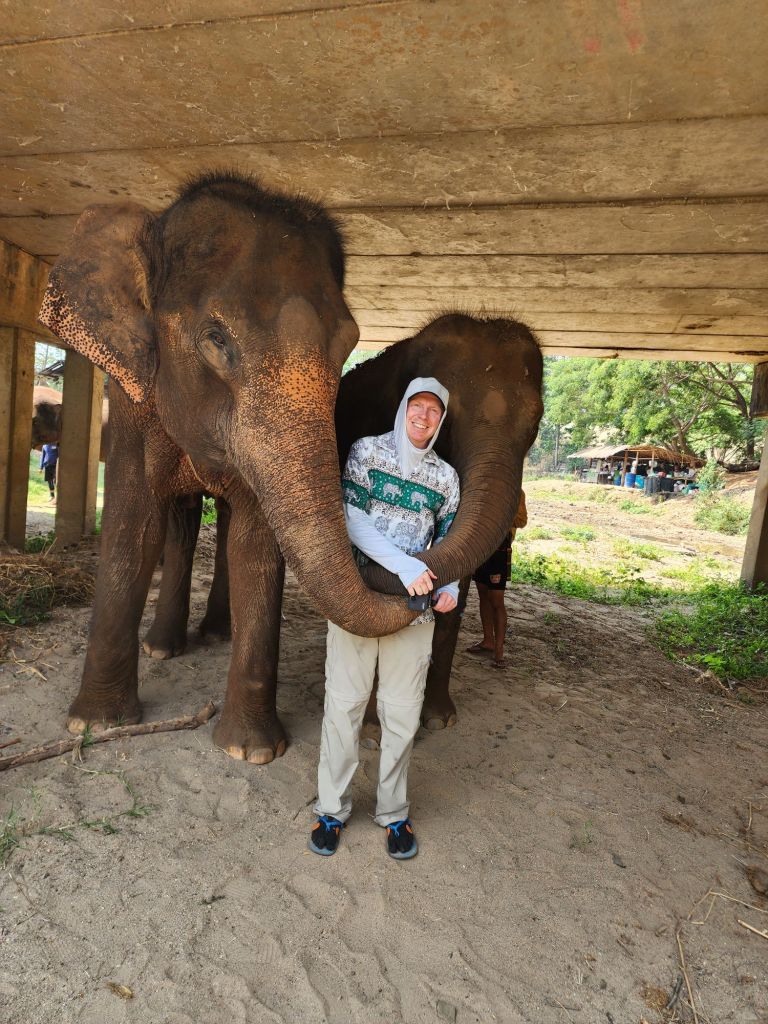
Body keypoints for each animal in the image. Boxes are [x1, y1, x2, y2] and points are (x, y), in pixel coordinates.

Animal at [39, 170, 428, 765]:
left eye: (348, 346)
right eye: (216, 340)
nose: (422, 584)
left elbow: (255, 545)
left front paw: (250, 751)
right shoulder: (131, 398)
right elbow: (134, 528)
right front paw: (95, 723)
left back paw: (215, 633)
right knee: (179, 523)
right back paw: (163, 647)